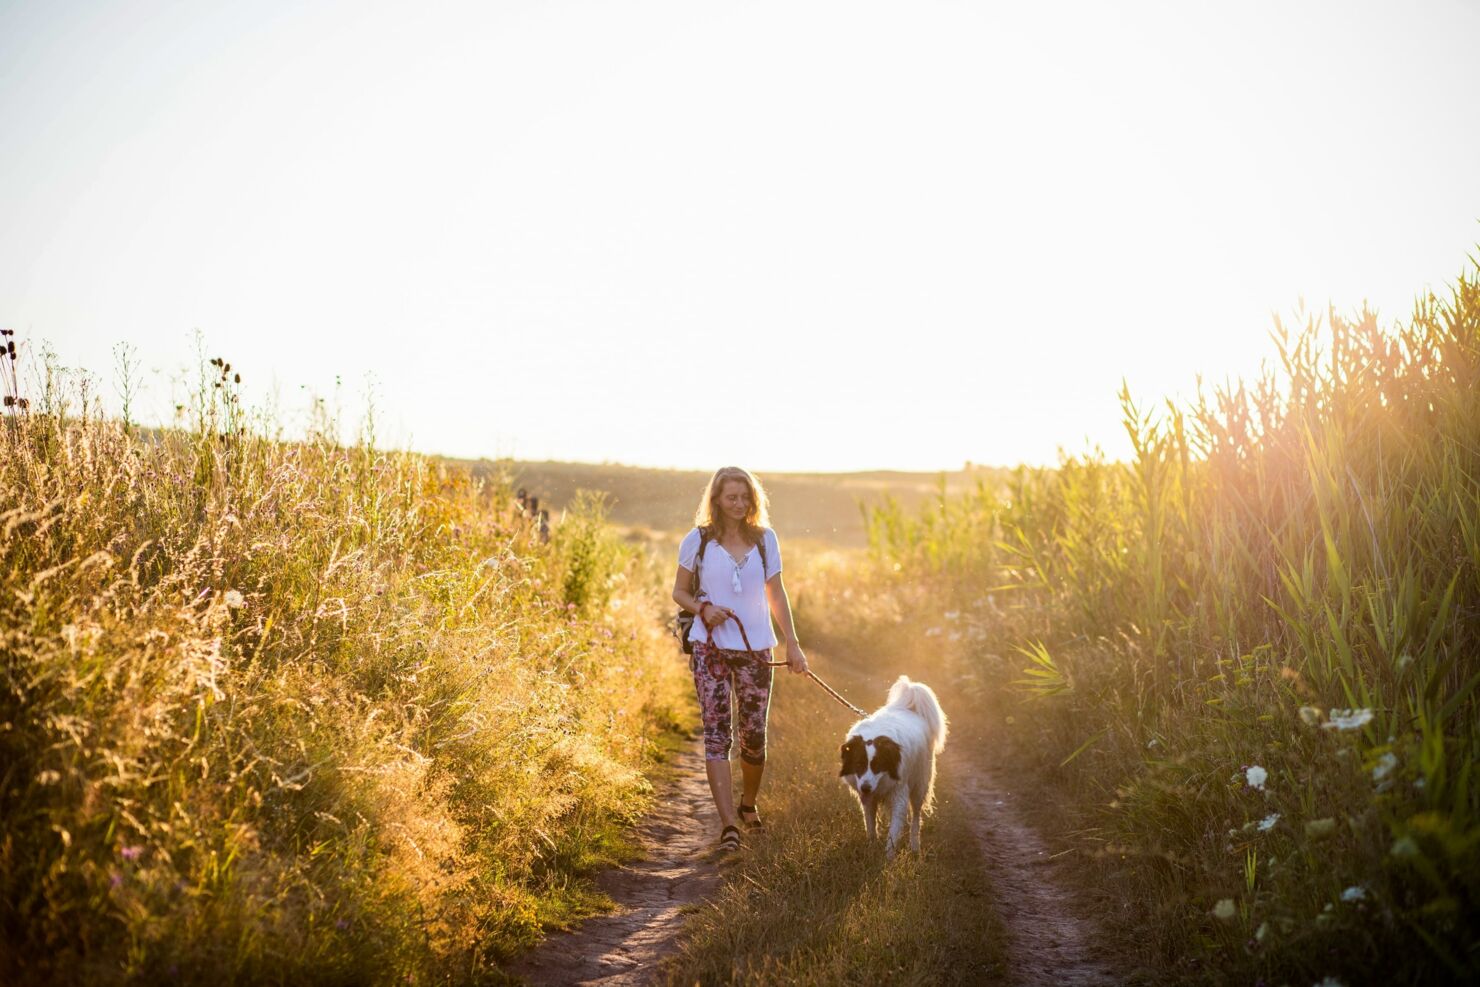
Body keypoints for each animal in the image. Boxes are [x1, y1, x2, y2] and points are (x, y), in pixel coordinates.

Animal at [834, 674, 947, 858]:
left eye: (878, 765)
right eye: (859, 764)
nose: (865, 788)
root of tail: (908, 706)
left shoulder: (899, 792)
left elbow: (894, 830)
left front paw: (888, 858)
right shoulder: (868, 798)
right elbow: (870, 824)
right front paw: (871, 848)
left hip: (920, 782)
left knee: (916, 816)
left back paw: (915, 846)